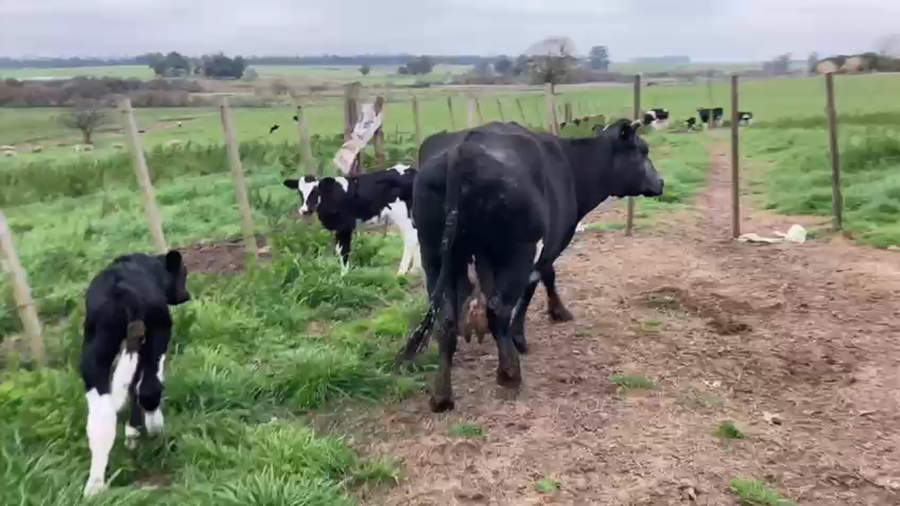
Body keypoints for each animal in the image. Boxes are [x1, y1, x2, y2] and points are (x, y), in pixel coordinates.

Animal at [80, 251, 191, 497]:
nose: (185, 295)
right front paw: (140, 430)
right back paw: (156, 430)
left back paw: (95, 486)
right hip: (156, 336)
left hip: (94, 354)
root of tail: (123, 291)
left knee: (101, 417)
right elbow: (142, 387)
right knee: (149, 391)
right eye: (184, 273)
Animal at [283, 163, 421, 275]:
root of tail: (411, 171)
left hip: (402, 214)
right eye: (300, 192)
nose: (305, 210)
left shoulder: (345, 226)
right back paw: (415, 269)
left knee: (410, 239)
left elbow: (344, 250)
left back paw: (401, 272)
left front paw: (344, 275)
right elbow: (338, 249)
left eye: (316, 191)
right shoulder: (338, 228)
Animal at [397, 120, 664, 412]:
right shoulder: (550, 244)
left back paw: (442, 396)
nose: (660, 182)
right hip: (516, 251)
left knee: (445, 319)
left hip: (434, 254)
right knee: (498, 309)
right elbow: (540, 281)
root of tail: (462, 151)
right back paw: (509, 373)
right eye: (643, 151)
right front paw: (531, 329)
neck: (571, 165)